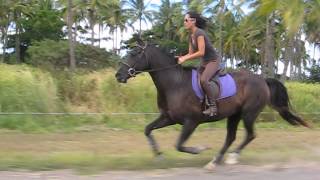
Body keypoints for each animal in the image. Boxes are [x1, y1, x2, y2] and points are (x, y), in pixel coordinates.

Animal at [115, 40, 310, 170]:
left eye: (134, 54)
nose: (118, 75)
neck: (175, 83)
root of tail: (262, 80)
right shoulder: (168, 118)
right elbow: (148, 130)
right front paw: (159, 156)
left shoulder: (191, 121)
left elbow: (179, 145)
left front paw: (199, 149)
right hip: (234, 115)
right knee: (231, 137)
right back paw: (215, 161)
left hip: (248, 114)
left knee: (250, 135)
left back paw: (232, 158)